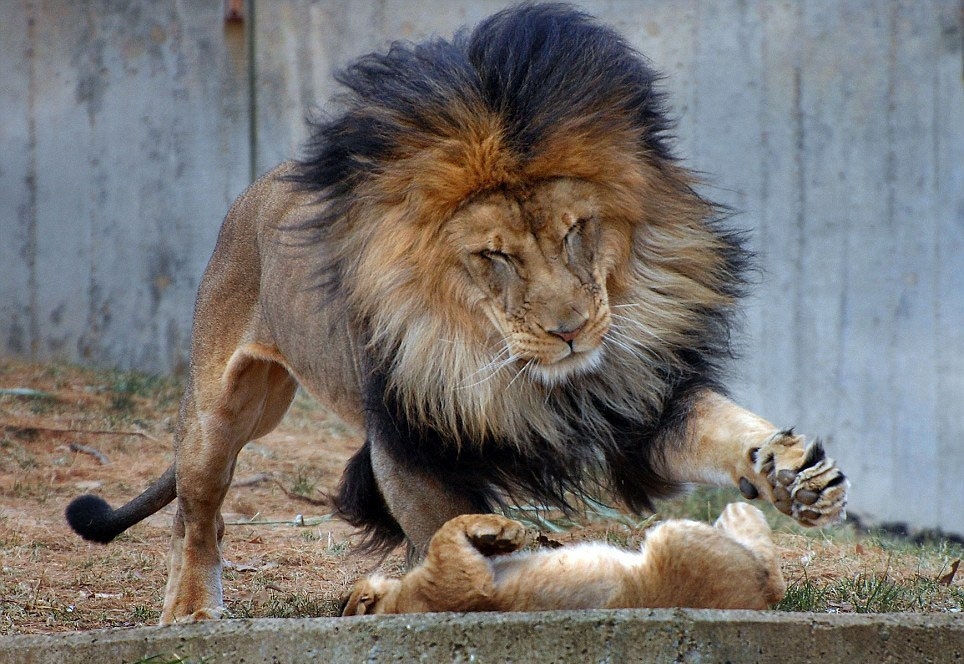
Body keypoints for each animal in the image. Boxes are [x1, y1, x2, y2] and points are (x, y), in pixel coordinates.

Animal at [64, 3, 848, 624]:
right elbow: (445, 535)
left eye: (576, 230)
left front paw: (791, 474)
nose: (570, 332)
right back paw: (191, 609)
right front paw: (472, 575)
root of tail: (259, 184)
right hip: (220, 407)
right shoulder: (408, 439)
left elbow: (724, 428)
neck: (506, 362)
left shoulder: (639, 398)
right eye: (494, 255)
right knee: (197, 513)